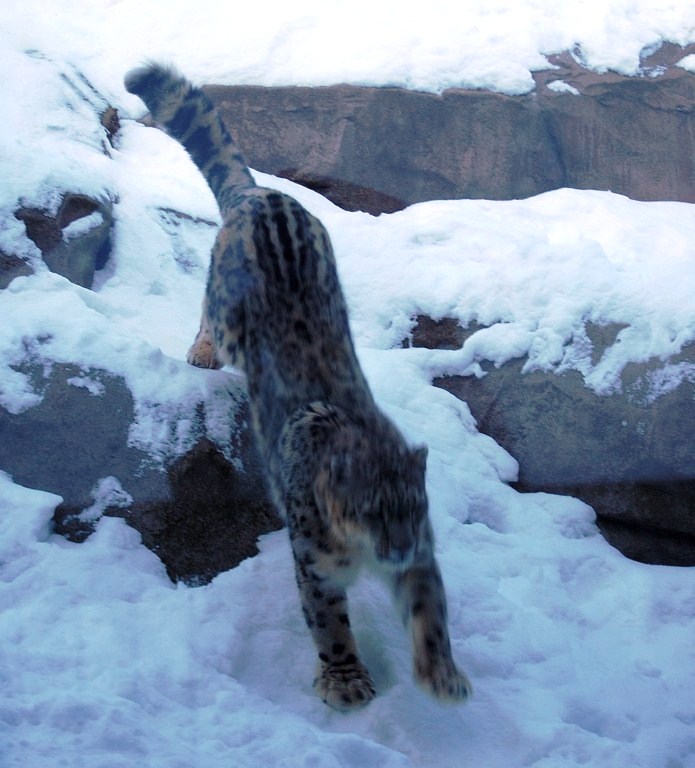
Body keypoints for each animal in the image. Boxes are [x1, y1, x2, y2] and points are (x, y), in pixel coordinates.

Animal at [124, 62, 472, 710]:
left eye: (414, 509)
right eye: (370, 509)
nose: (396, 548)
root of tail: (263, 193)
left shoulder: (422, 556)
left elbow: (429, 607)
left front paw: (443, 675)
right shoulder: (314, 560)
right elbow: (328, 620)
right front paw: (348, 681)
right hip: (227, 312)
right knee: (209, 314)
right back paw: (202, 351)